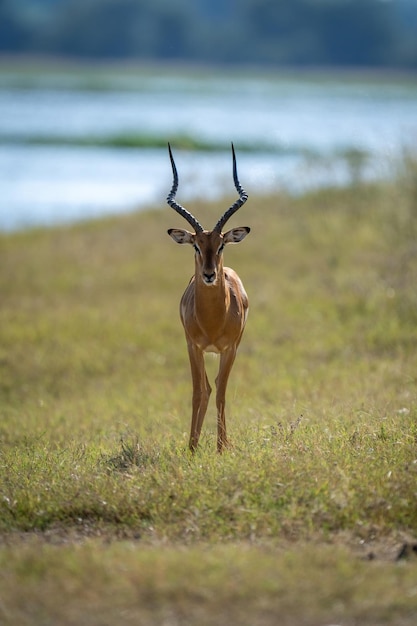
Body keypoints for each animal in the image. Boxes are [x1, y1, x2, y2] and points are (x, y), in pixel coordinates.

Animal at [167, 144, 250, 450]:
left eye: (221, 244)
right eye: (196, 246)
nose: (210, 274)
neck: (214, 320)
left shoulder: (230, 349)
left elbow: (222, 393)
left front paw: (222, 448)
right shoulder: (193, 347)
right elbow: (197, 393)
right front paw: (192, 448)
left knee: (215, 388)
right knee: (205, 388)